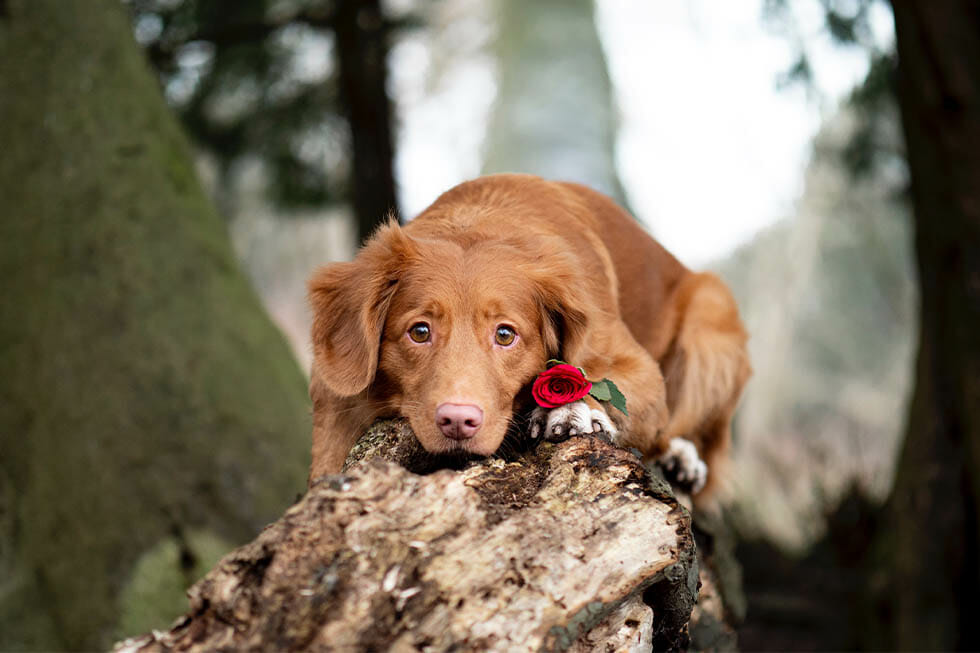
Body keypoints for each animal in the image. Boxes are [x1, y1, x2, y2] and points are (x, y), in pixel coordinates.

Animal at [306, 173, 752, 500]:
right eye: (419, 332)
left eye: (505, 334)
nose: (457, 421)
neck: (478, 221)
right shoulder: (336, 393)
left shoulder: (639, 367)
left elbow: (599, 381)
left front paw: (573, 410)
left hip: (712, 316)